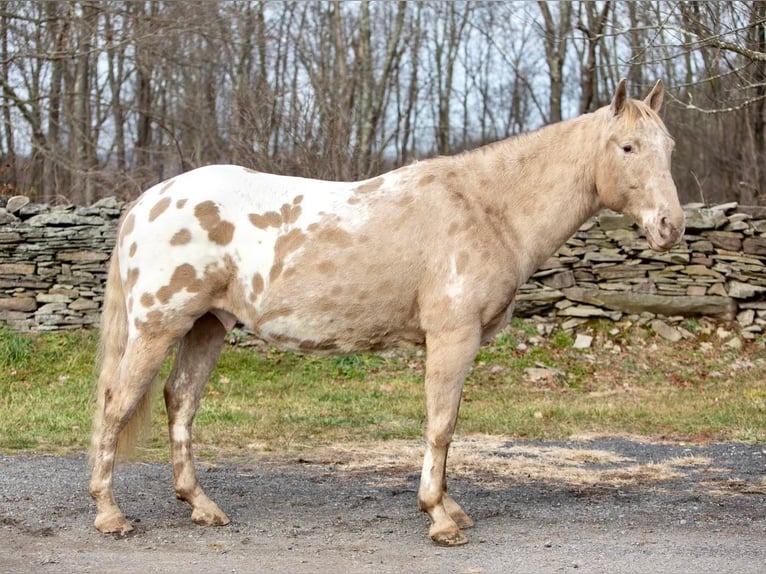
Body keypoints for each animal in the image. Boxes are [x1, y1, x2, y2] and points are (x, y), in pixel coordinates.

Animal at [88, 79, 684, 548]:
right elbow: (441, 426)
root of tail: (148, 201)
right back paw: (109, 514)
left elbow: (449, 426)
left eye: (669, 146)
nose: (670, 226)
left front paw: (450, 506)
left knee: (180, 402)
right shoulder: (452, 337)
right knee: (117, 403)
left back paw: (201, 506)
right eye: (627, 146)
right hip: (158, 327)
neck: (488, 208)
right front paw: (440, 518)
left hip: (207, 326)